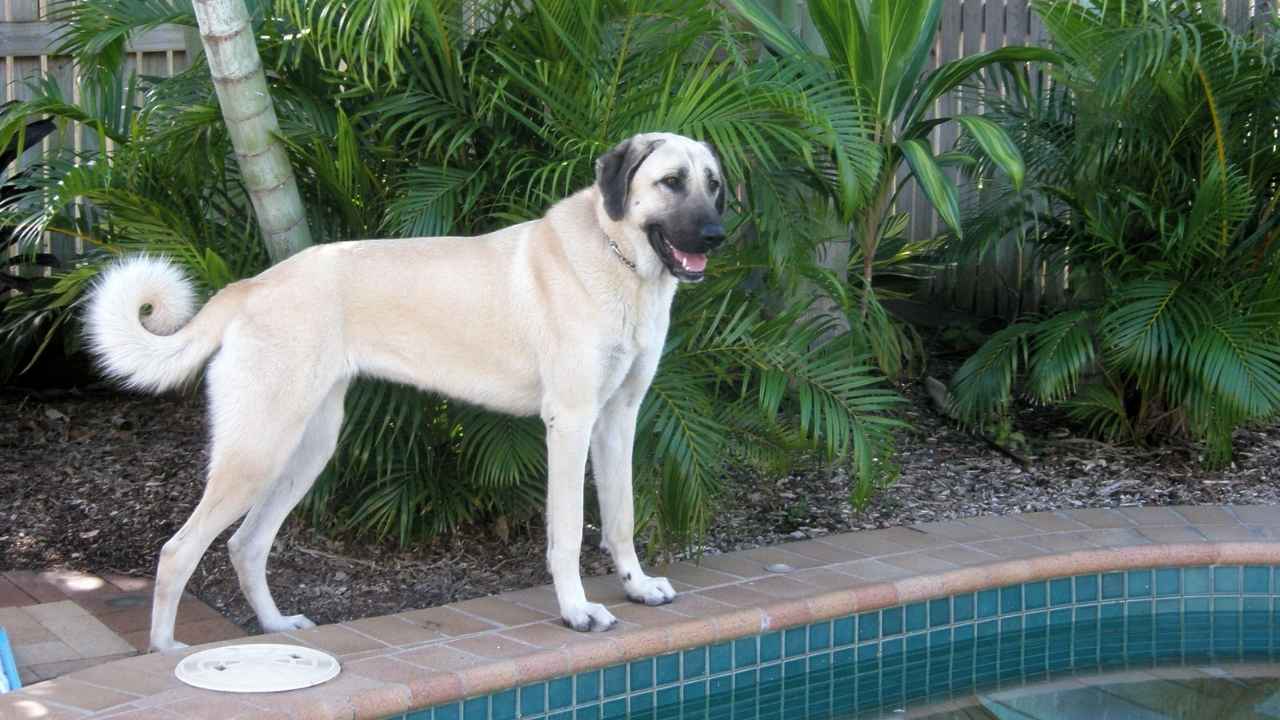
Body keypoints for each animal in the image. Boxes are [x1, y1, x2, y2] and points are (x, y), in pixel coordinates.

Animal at [87, 130, 732, 650]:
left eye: (713, 184)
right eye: (670, 182)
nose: (717, 235)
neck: (615, 255)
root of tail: (251, 285)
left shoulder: (618, 418)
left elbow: (622, 517)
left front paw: (637, 586)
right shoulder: (570, 424)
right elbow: (570, 531)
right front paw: (577, 611)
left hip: (306, 450)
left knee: (246, 544)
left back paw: (274, 628)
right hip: (258, 450)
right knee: (178, 551)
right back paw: (167, 655)